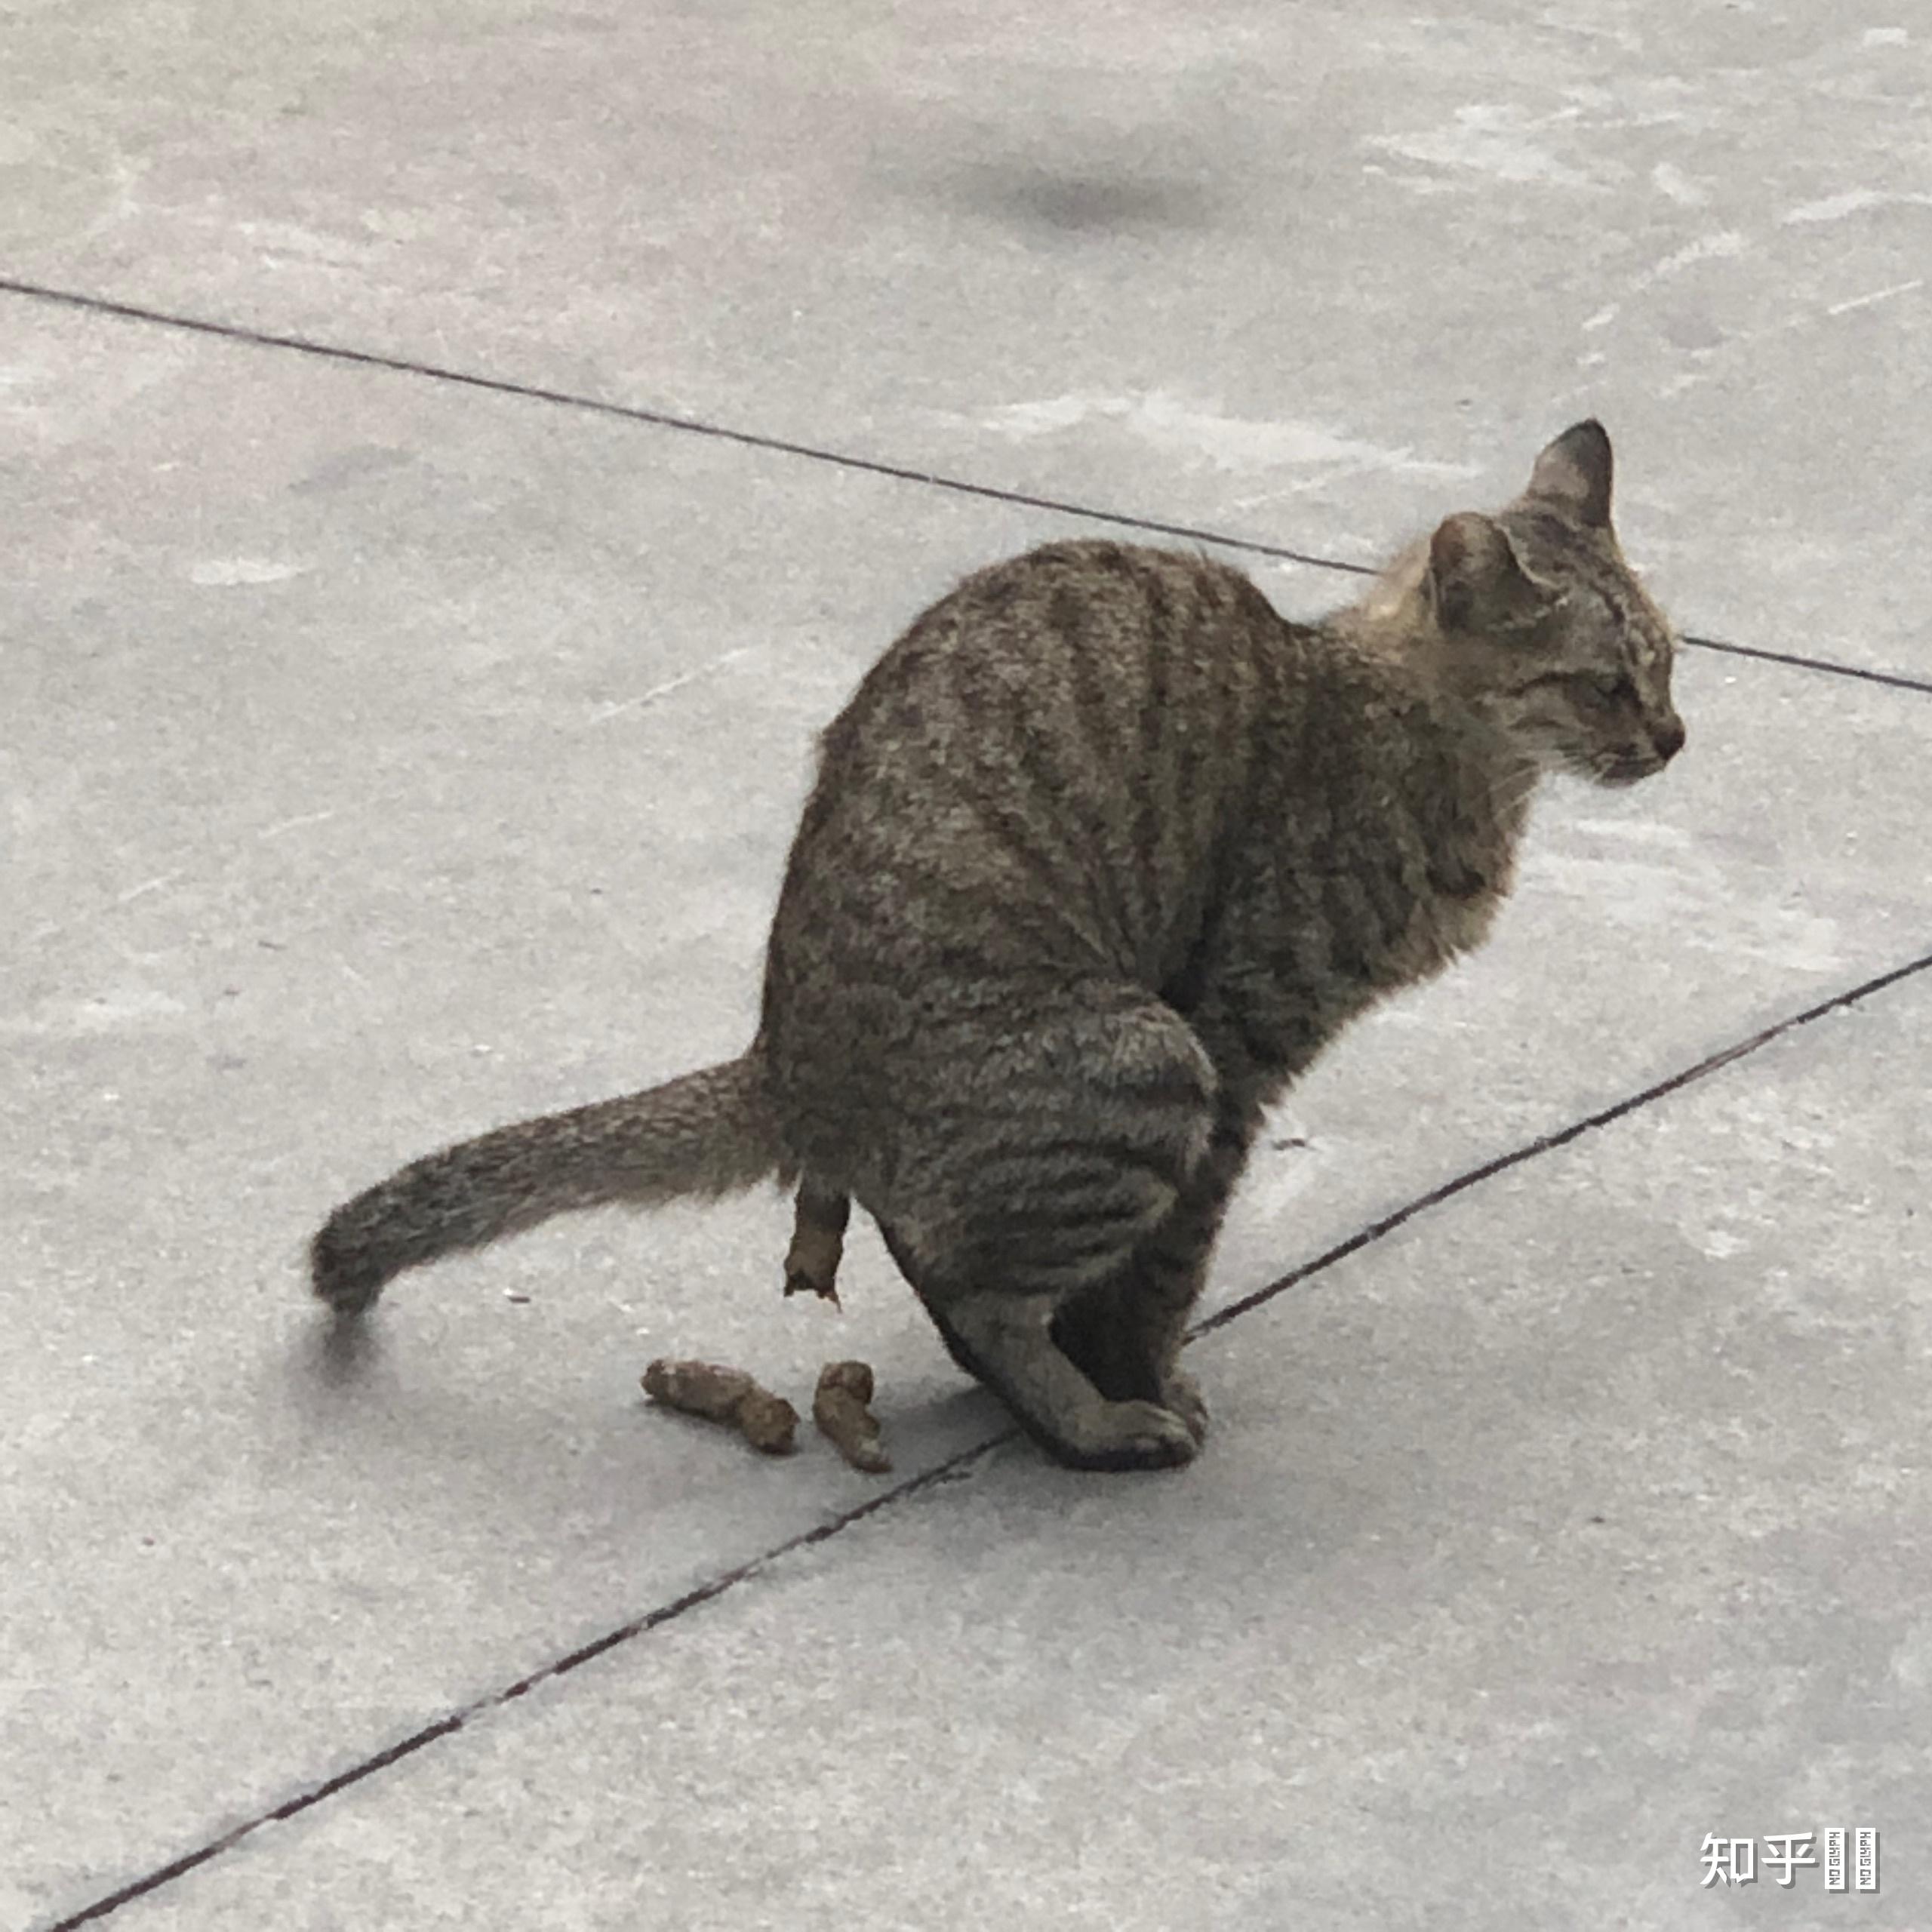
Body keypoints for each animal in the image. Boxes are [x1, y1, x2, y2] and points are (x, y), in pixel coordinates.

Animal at [309, 423, 1684, 1468]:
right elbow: (1167, 1270)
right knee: (976, 1287)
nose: (1673, 738)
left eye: (1668, 663)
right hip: (1143, 1069)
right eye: (1604, 685)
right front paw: (1139, 1379)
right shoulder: (1237, 1047)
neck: (1416, 732)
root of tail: (785, 1061)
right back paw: (1093, 1423)